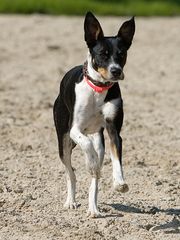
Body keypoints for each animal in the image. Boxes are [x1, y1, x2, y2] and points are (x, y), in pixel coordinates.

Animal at [53, 11, 135, 218]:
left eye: (121, 54)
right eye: (102, 54)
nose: (116, 71)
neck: (98, 89)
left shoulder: (113, 130)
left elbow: (116, 158)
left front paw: (119, 182)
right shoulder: (75, 129)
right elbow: (86, 146)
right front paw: (89, 162)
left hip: (100, 141)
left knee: (95, 176)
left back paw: (93, 208)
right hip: (63, 141)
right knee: (71, 172)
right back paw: (71, 201)